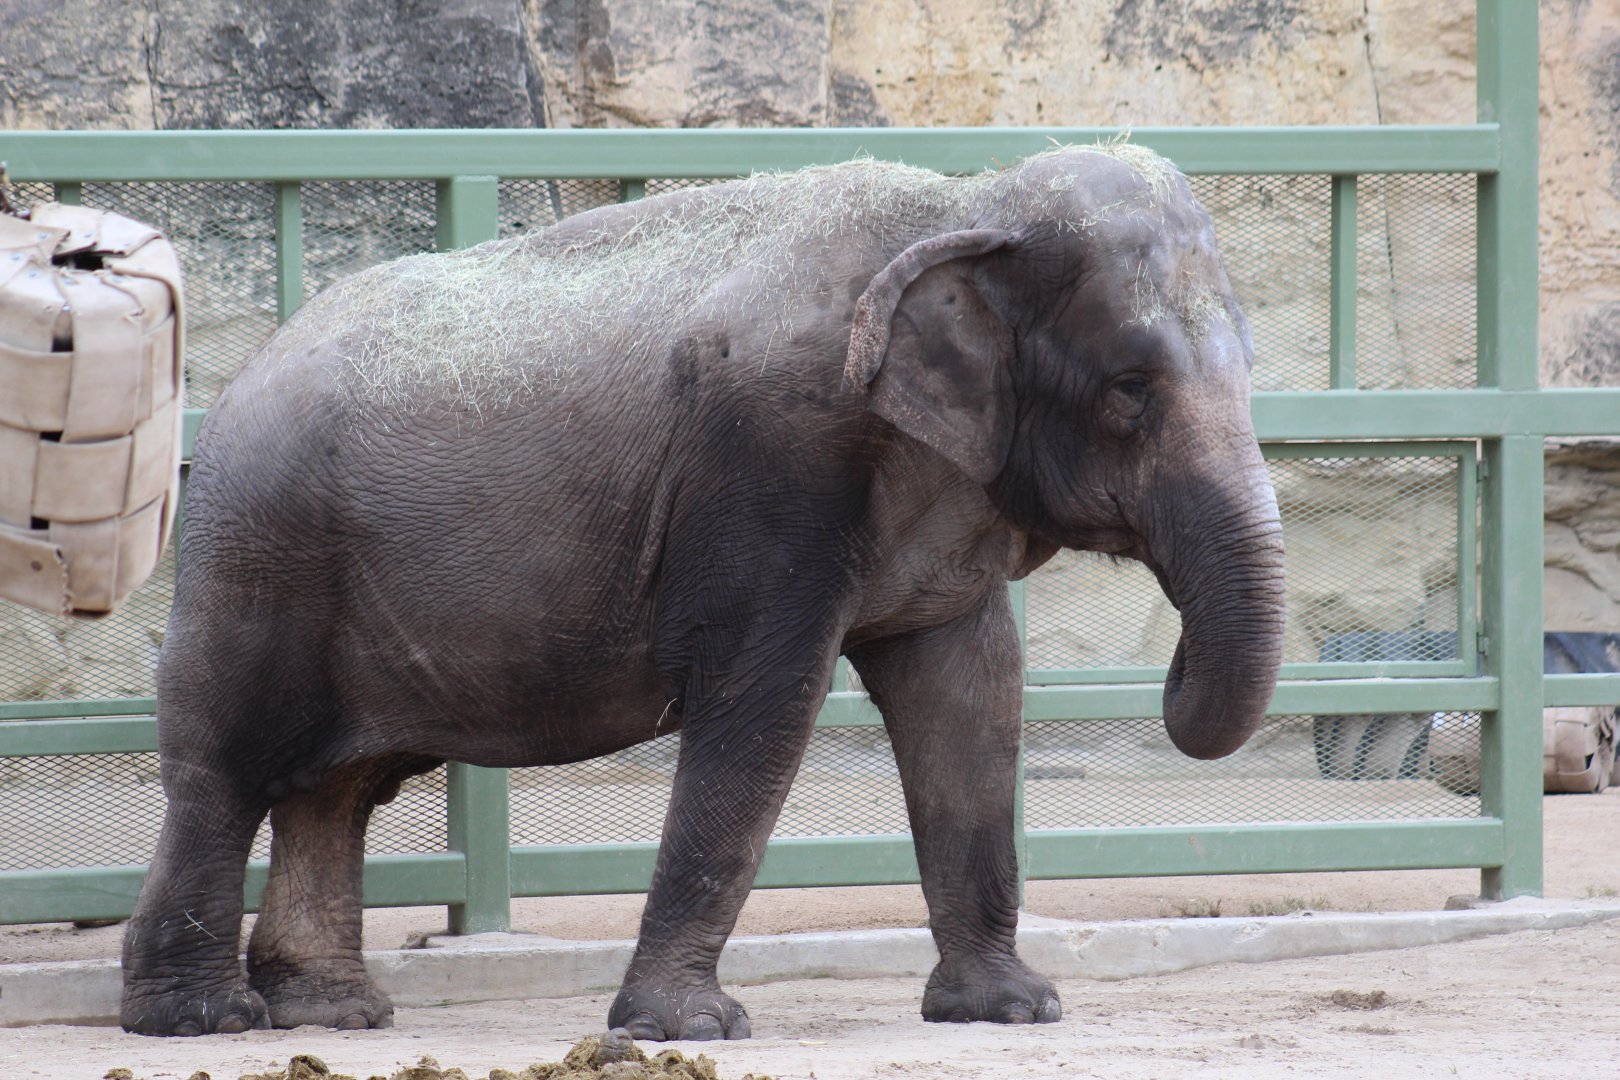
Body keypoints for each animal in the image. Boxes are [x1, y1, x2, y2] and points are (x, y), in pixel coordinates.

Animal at [119, 143, 1287, 1039]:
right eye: (1131, 389)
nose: (1175, 660)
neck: (966, 202)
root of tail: (230, 385)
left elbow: (971, 699)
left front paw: (1011, 1010)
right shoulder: (772, 461)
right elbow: (762, 701)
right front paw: (690, 1029)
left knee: (335, 789)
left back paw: (334, 1014)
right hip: (255, 558)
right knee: (224, 768)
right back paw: (202, 1021)